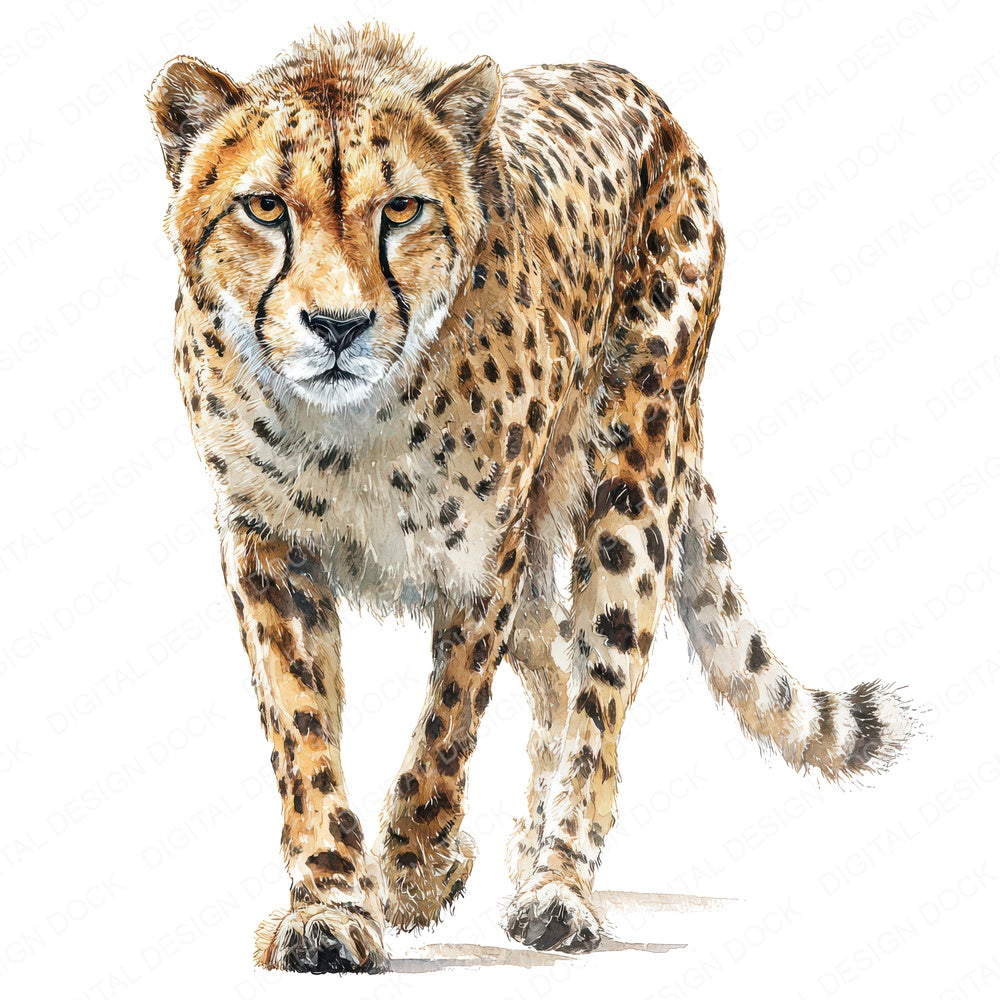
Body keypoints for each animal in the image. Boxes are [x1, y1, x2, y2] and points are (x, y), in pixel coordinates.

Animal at [147, 23, 914, 973]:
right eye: (263, 208)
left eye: (402, 211)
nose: (338, 327)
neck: (347, 428)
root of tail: (643, 95)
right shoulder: (267, 546)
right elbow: (303, 734)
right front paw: (330, 906)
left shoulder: (485, 557)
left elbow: (444, 729)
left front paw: (417, 874)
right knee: (551, 662)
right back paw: (521, 849)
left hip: (635, 477)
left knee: (596, 694)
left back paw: (558, 888)